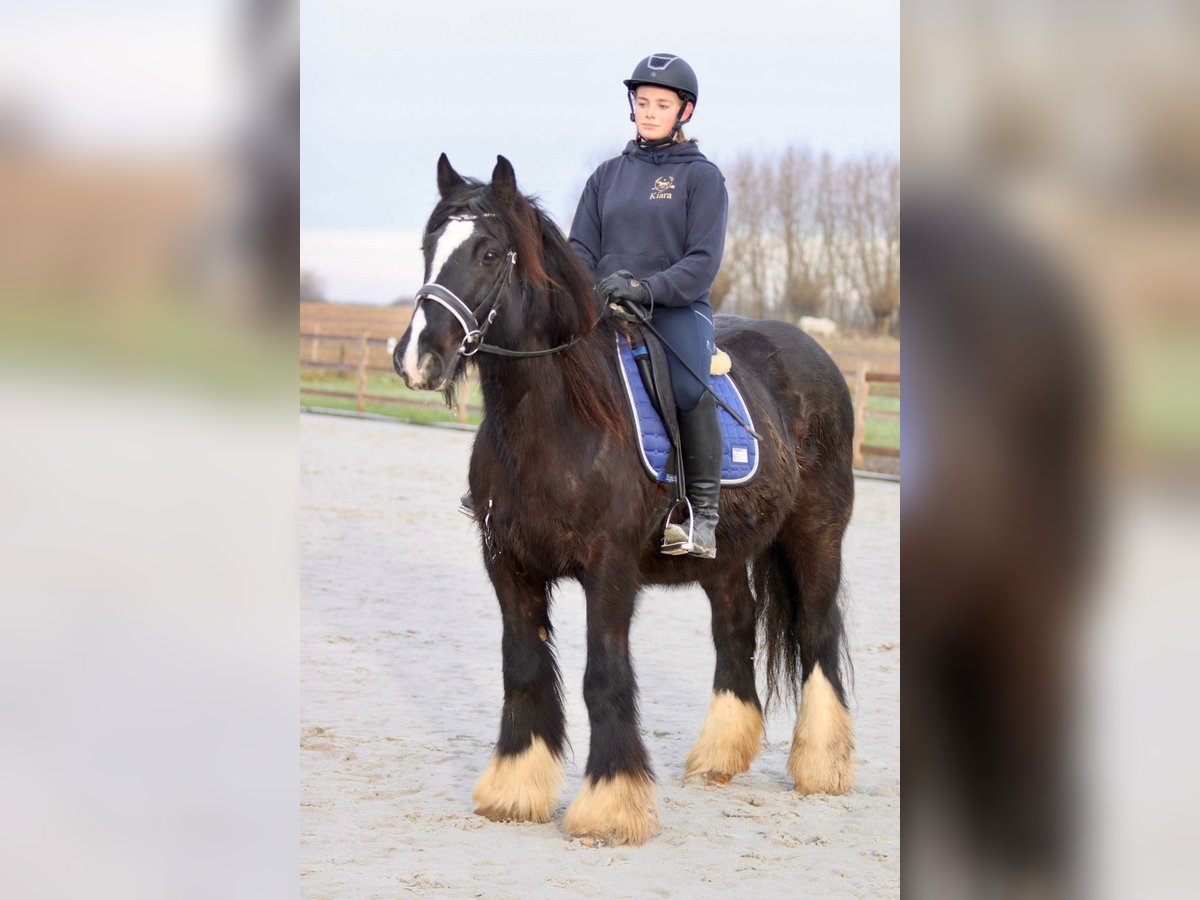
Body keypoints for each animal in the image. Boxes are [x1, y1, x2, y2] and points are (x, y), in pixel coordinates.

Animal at [393, 153, 854, 844]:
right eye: (429, 246)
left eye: (489, 251)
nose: (418, 356)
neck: (558, 421)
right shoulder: (509, 567)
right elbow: (523, 668)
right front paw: (515, 787)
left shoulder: (608, 571)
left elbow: (604, 677)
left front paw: (611, 804)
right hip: (722, 556)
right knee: (735, 630)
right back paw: (719, 756)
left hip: (817, 534)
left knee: (817, 632)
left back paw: (822, 766)